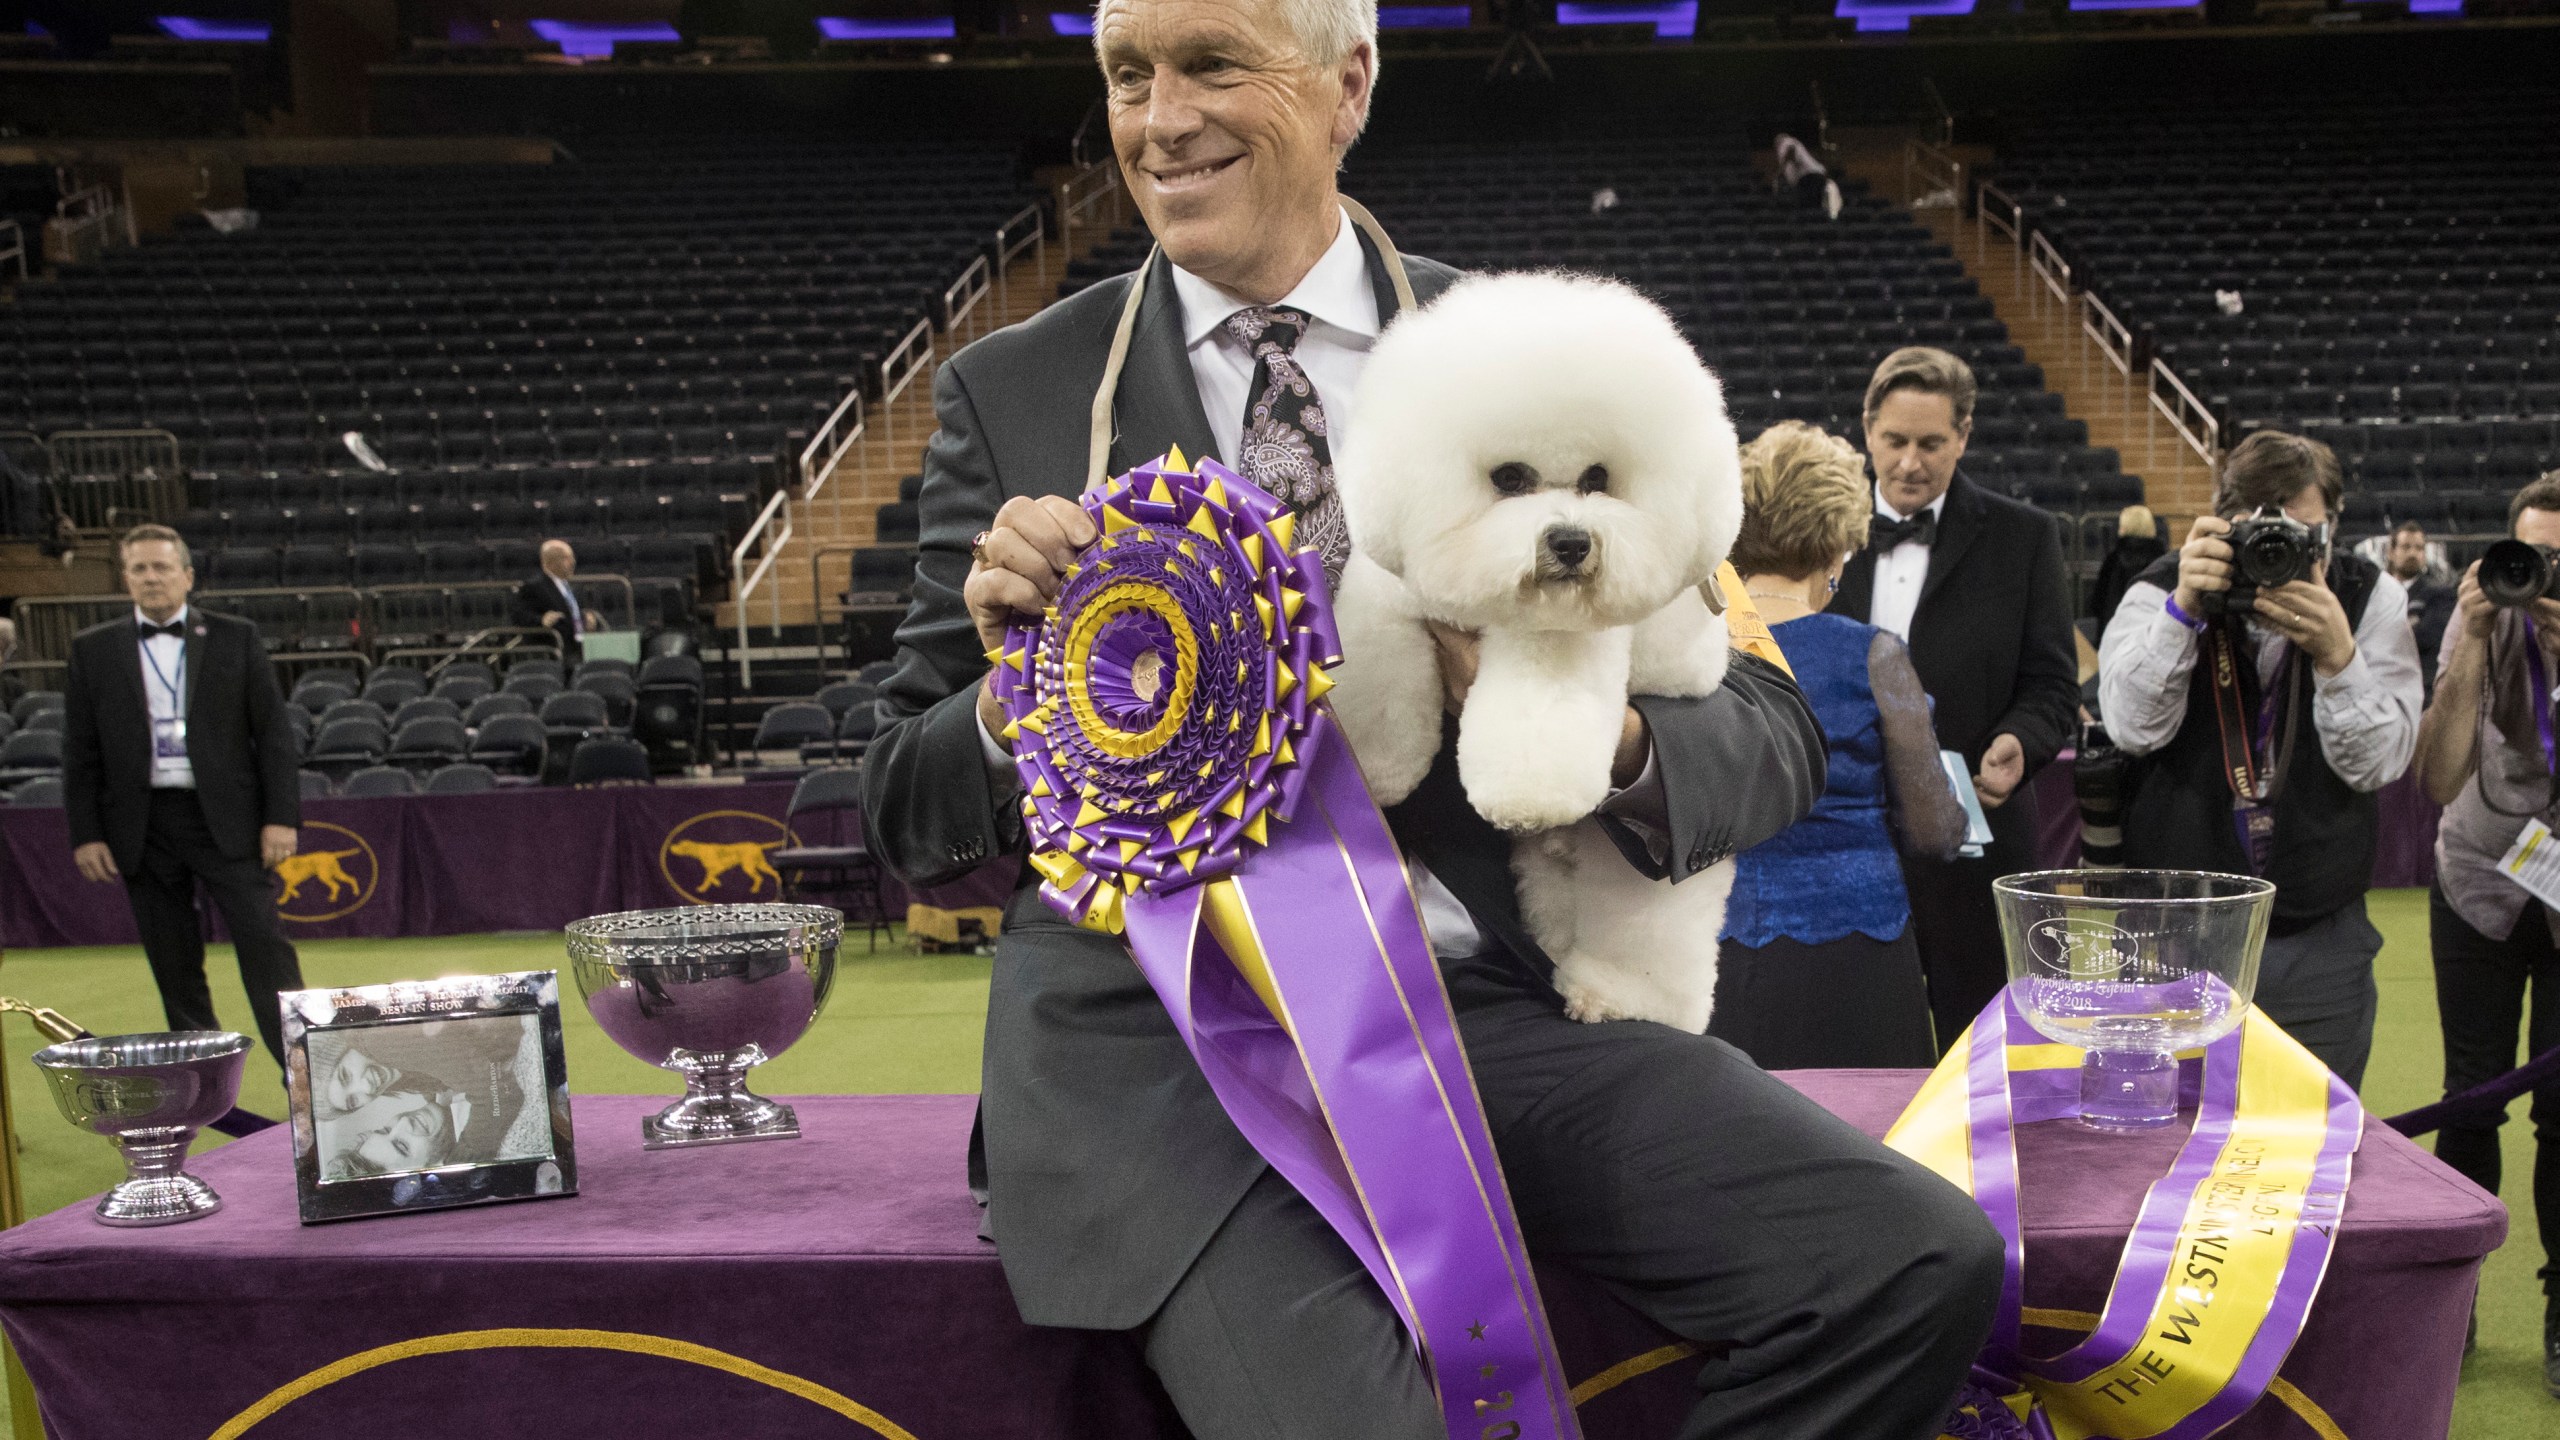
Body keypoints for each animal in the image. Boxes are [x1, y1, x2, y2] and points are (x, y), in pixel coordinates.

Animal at [1341, 269, 1740, 1030]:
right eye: (1509, 478)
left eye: (1597, 479)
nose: (1572, 543)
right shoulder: (1389, 592)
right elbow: (1378, 671)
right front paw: (1378, 770)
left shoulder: (1562, 648)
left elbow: (1537, 720)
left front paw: (1522, 795)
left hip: (1637, 862)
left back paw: (1615, 994)